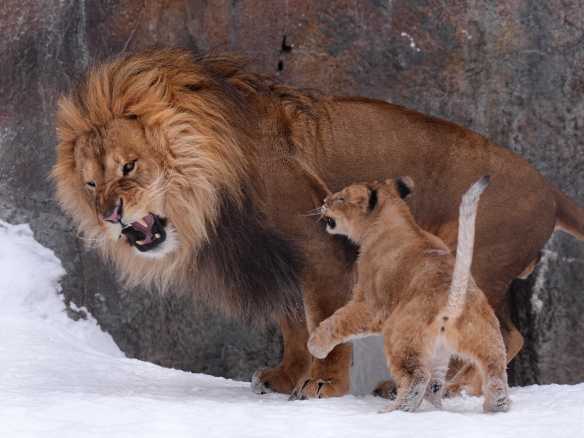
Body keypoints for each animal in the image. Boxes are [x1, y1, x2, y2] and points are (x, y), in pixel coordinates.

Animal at [52, 49, 580, 398]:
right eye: (91, 184)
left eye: (128, 167)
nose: (109, 216)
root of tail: (550, 190)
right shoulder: (278, 259)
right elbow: (292, 326)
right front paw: (284, 378)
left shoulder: (316, 243)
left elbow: (323, 320)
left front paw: (323, 384)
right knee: (509, 335)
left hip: (469, 260)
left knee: (493, 333)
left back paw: (442, 387)